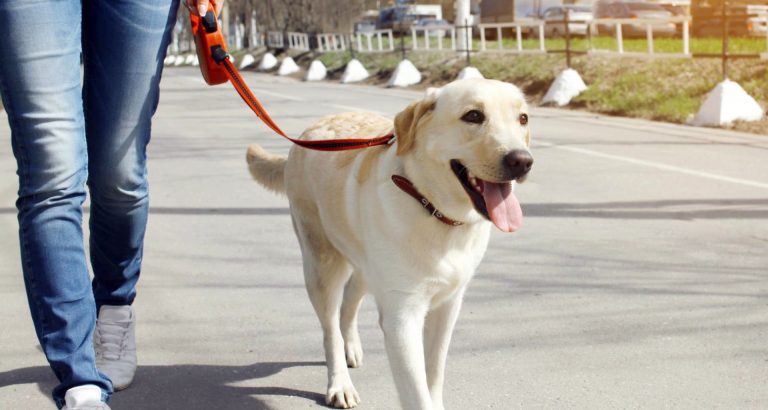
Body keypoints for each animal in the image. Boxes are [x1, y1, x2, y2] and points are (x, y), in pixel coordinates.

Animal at [248, 78, 536, 408]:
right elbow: (417, 393)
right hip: (321, 264)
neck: (432, 208)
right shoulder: (402, 317)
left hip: (365, 266)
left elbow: (434, 372)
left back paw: (351, 346)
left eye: (523, 119)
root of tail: (308, 133)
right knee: (330, 328)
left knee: (349, 302)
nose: (522, 161)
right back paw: (340, 383)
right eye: (473, 116)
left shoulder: (448, 306)